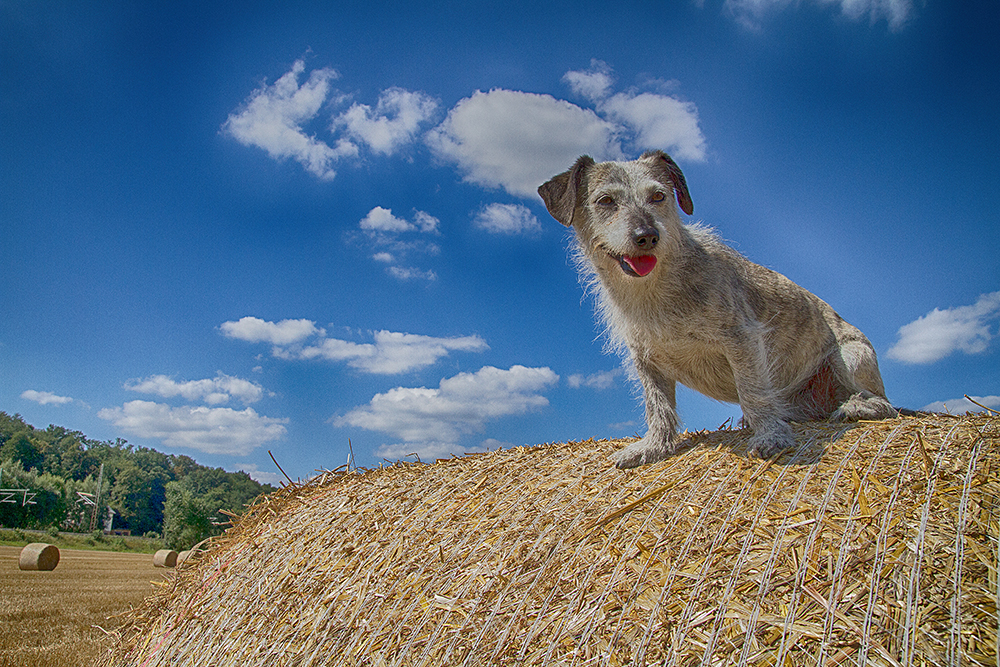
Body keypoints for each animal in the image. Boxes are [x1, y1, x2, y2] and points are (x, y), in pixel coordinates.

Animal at [540, 150, 900, 470]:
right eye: (605, 201)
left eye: (658, 196)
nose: (647, 236)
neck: (654, 290)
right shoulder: (645, 361)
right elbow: (658, 407)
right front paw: (654, 447)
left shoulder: (742, 339)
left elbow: (753, 391)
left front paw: (771, 436)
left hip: (851, 357)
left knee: (885, 403)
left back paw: (856, 407)